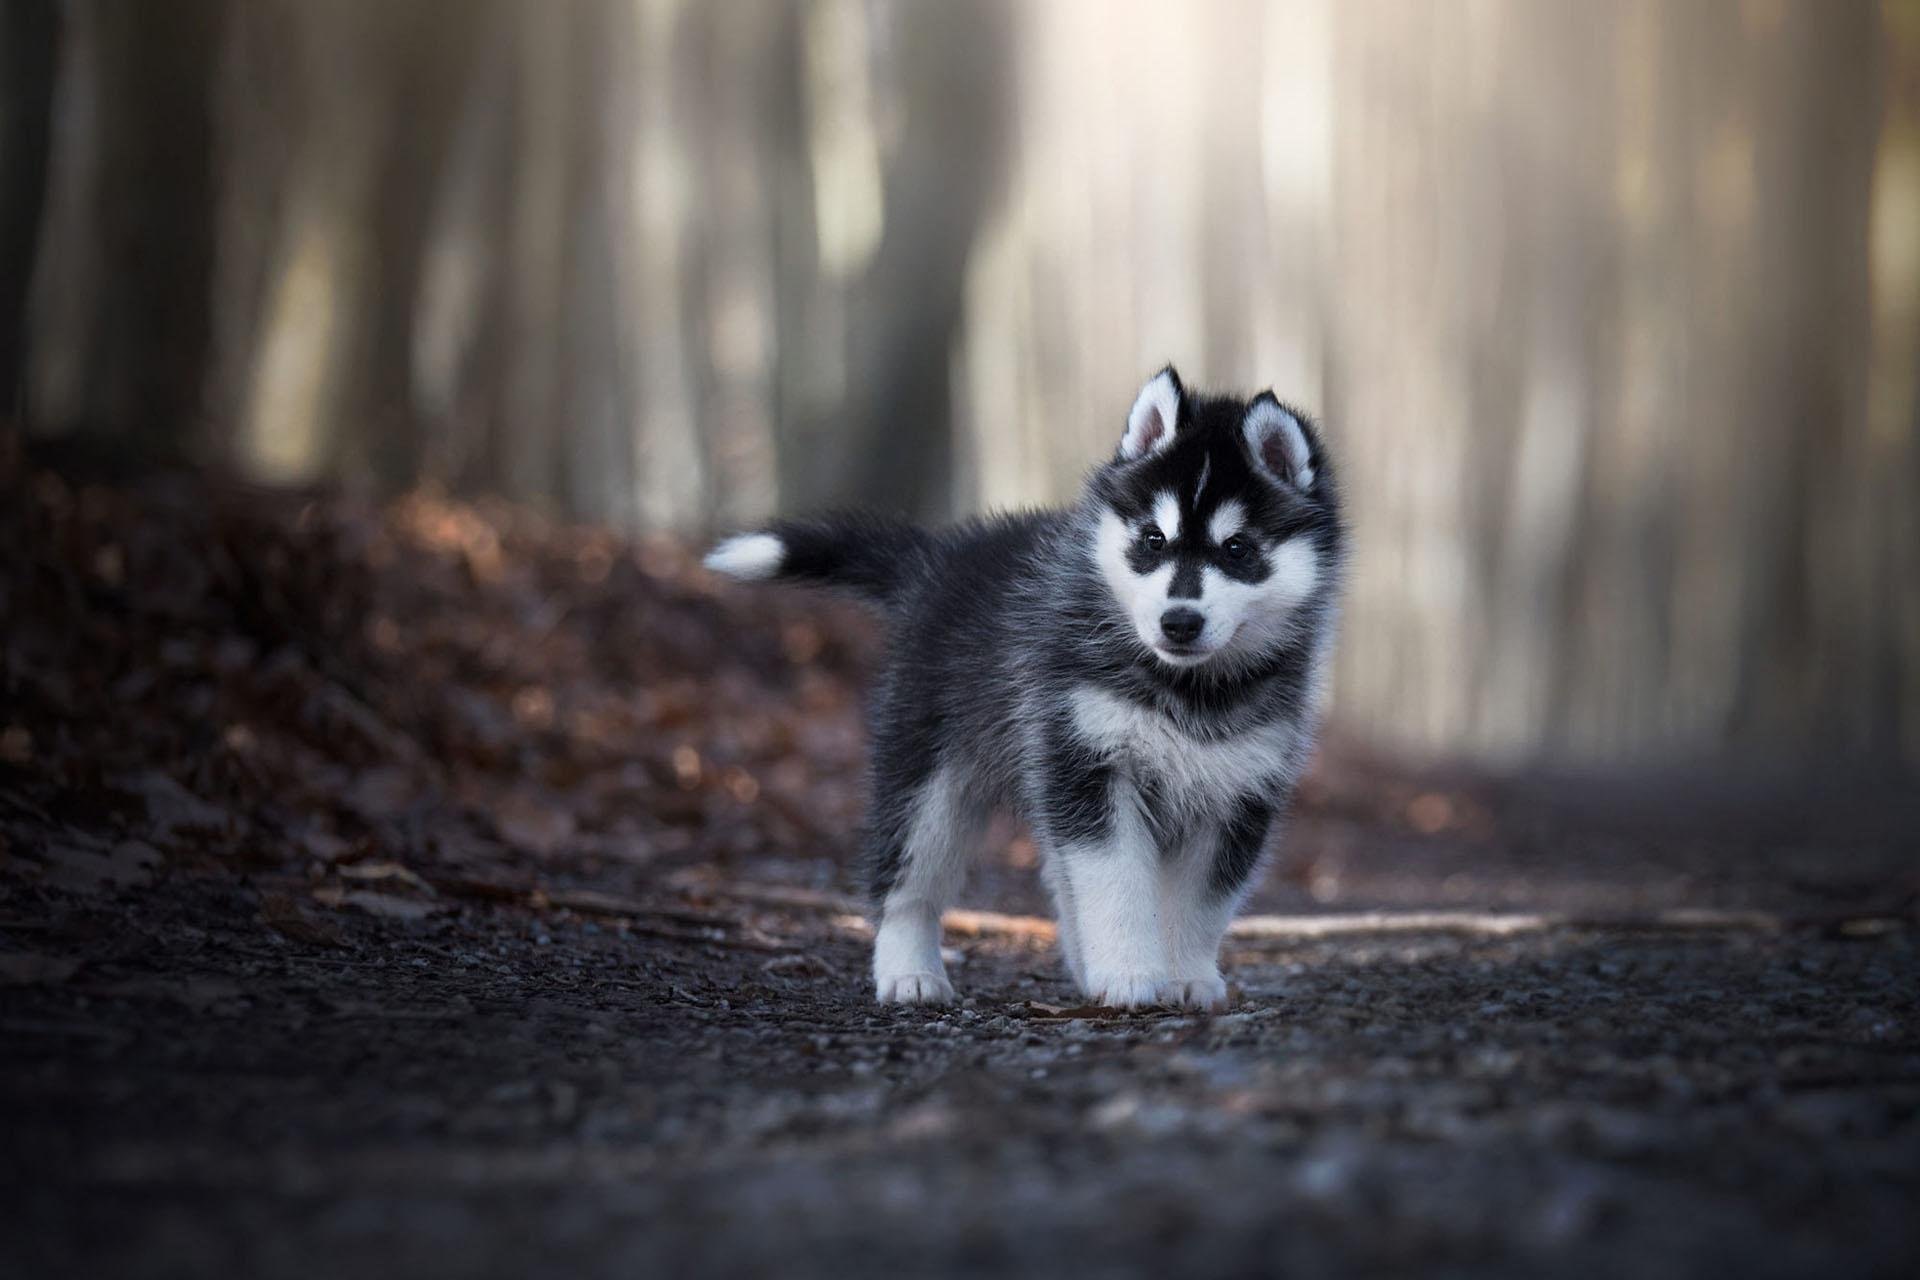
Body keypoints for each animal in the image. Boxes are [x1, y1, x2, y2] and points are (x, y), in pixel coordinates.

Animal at [706, 364, 1351, 1005]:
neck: (1190, 691)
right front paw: (1129, 975)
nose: (1179, 621)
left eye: (1237, 549)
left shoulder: (1240, 793)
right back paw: (910, 971)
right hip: (929, 778)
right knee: (907, 878)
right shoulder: (1088, 763)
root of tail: (941, 557)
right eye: (1153, 541)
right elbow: (1116, 883)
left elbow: (1201, 905)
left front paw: (1186, 976)